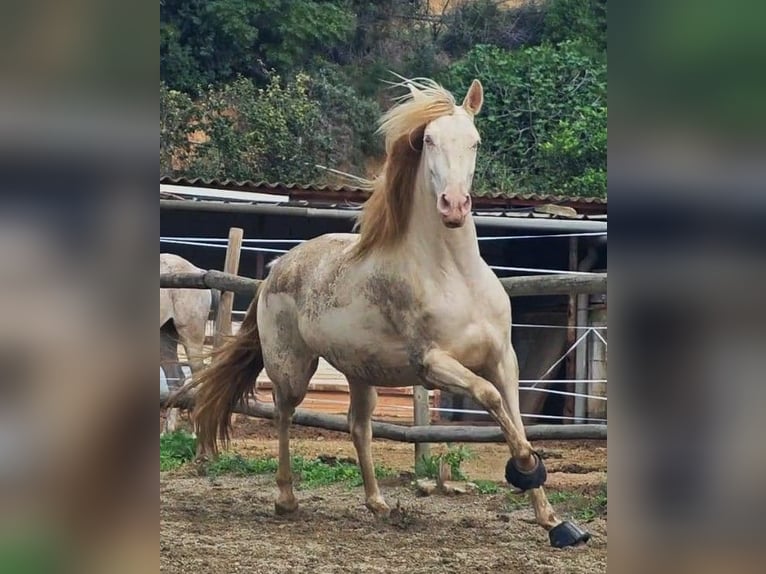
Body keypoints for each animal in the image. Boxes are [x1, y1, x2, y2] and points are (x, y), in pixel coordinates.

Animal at [160, 254, 218, 434]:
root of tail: (198, 271)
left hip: (191, 336)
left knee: (197, 375)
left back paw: (195, 432)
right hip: (165, 334)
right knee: (176, 380)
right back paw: (167, 431)